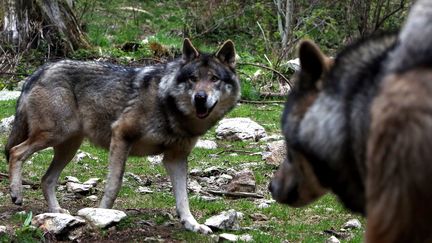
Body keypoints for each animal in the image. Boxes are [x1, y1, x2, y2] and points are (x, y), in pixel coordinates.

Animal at [4, 38, 240, 234]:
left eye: (214, 79)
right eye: (193, 78)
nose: (200, 98)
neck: (169, 107)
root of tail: (40, 70)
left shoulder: (176, 159)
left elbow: (183, 199)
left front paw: (192, 224)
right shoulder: (120, 136)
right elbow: (114, 185)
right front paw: (102, 215)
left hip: (68, 145)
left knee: (46, 179)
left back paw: (56, 212)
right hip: (55, 135)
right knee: (16, 152)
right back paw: (17, 194)